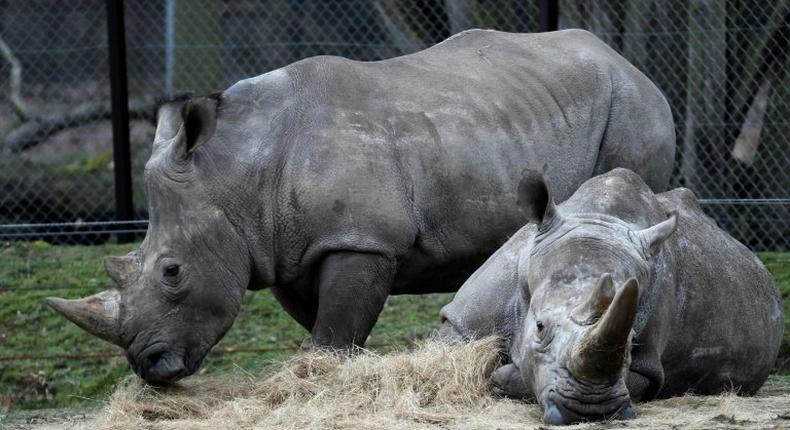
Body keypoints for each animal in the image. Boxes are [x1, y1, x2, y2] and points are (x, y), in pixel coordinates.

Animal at [44, 31, 676, 386]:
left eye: (172, 272)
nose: (149, 367)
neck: (238, 172)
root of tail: (628, 62)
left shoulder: (361, 239)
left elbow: (333, 328)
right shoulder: (286, 248)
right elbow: (328, 330)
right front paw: (339, 371)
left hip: (633, 106)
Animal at [442, 167, 784, 424]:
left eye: (632, 341)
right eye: (540, 327)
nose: (591, 410)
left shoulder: (647, 366)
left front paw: (505, 377)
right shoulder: (467, 317)